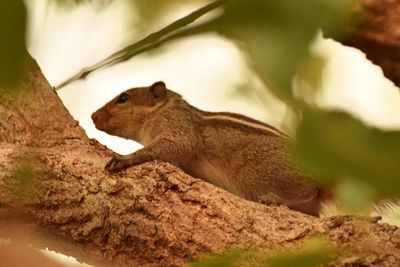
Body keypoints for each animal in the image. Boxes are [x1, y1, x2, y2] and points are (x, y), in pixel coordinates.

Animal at [90, 82, 322, 218]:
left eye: (123, 98)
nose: (93, 116)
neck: (163, 109)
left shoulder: (177, 127)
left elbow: (179, 145)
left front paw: (125, 158)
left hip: (255, 170)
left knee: (308, 191)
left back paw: (277, 199)